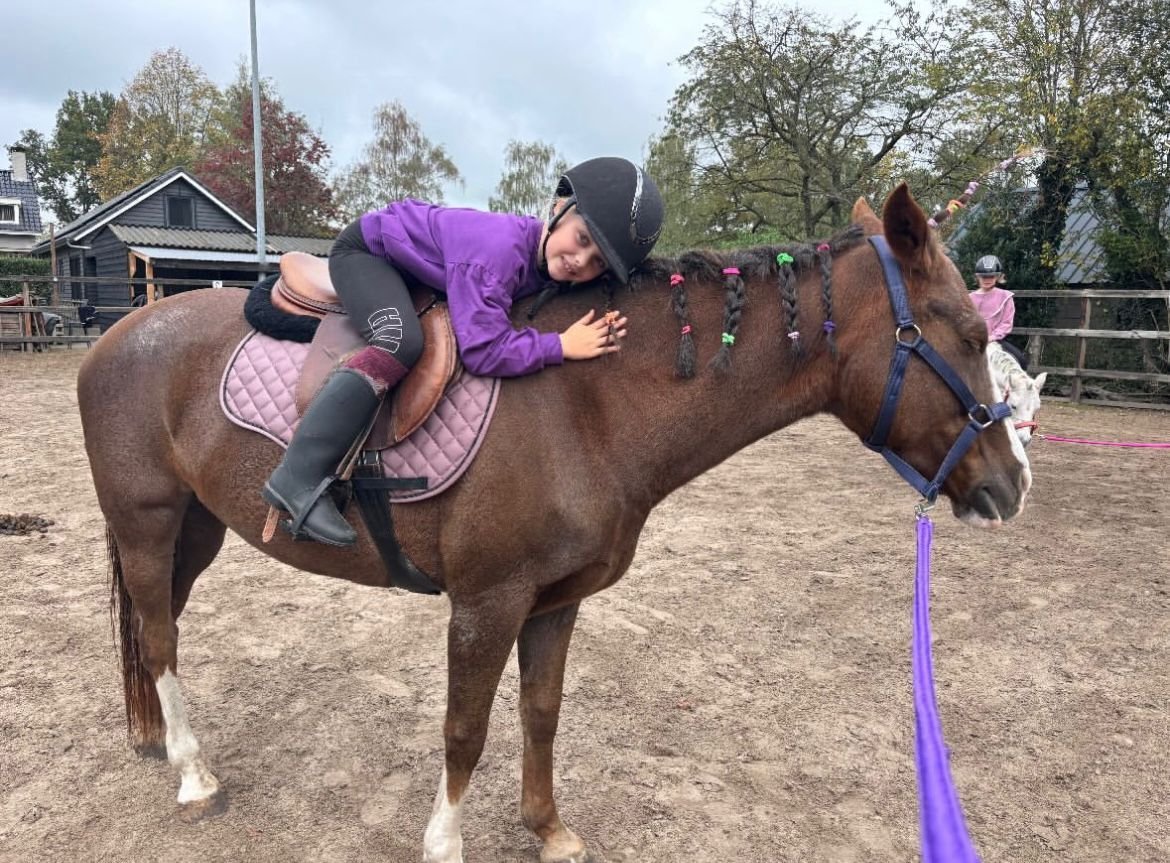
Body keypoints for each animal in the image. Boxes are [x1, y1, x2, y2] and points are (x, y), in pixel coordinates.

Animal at [77, 185, 1030, 863]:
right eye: (969, 333)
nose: (1011, 485)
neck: (585, 404)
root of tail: (118, 332)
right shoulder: (486, 601)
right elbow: (466, 728)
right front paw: (446, 843)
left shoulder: (556, 601)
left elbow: (541, 711)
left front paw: (548, 827)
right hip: (149, 524)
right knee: (160, 638)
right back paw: (193, 774)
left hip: (195, 530)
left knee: (155, 635)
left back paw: (155, 739)